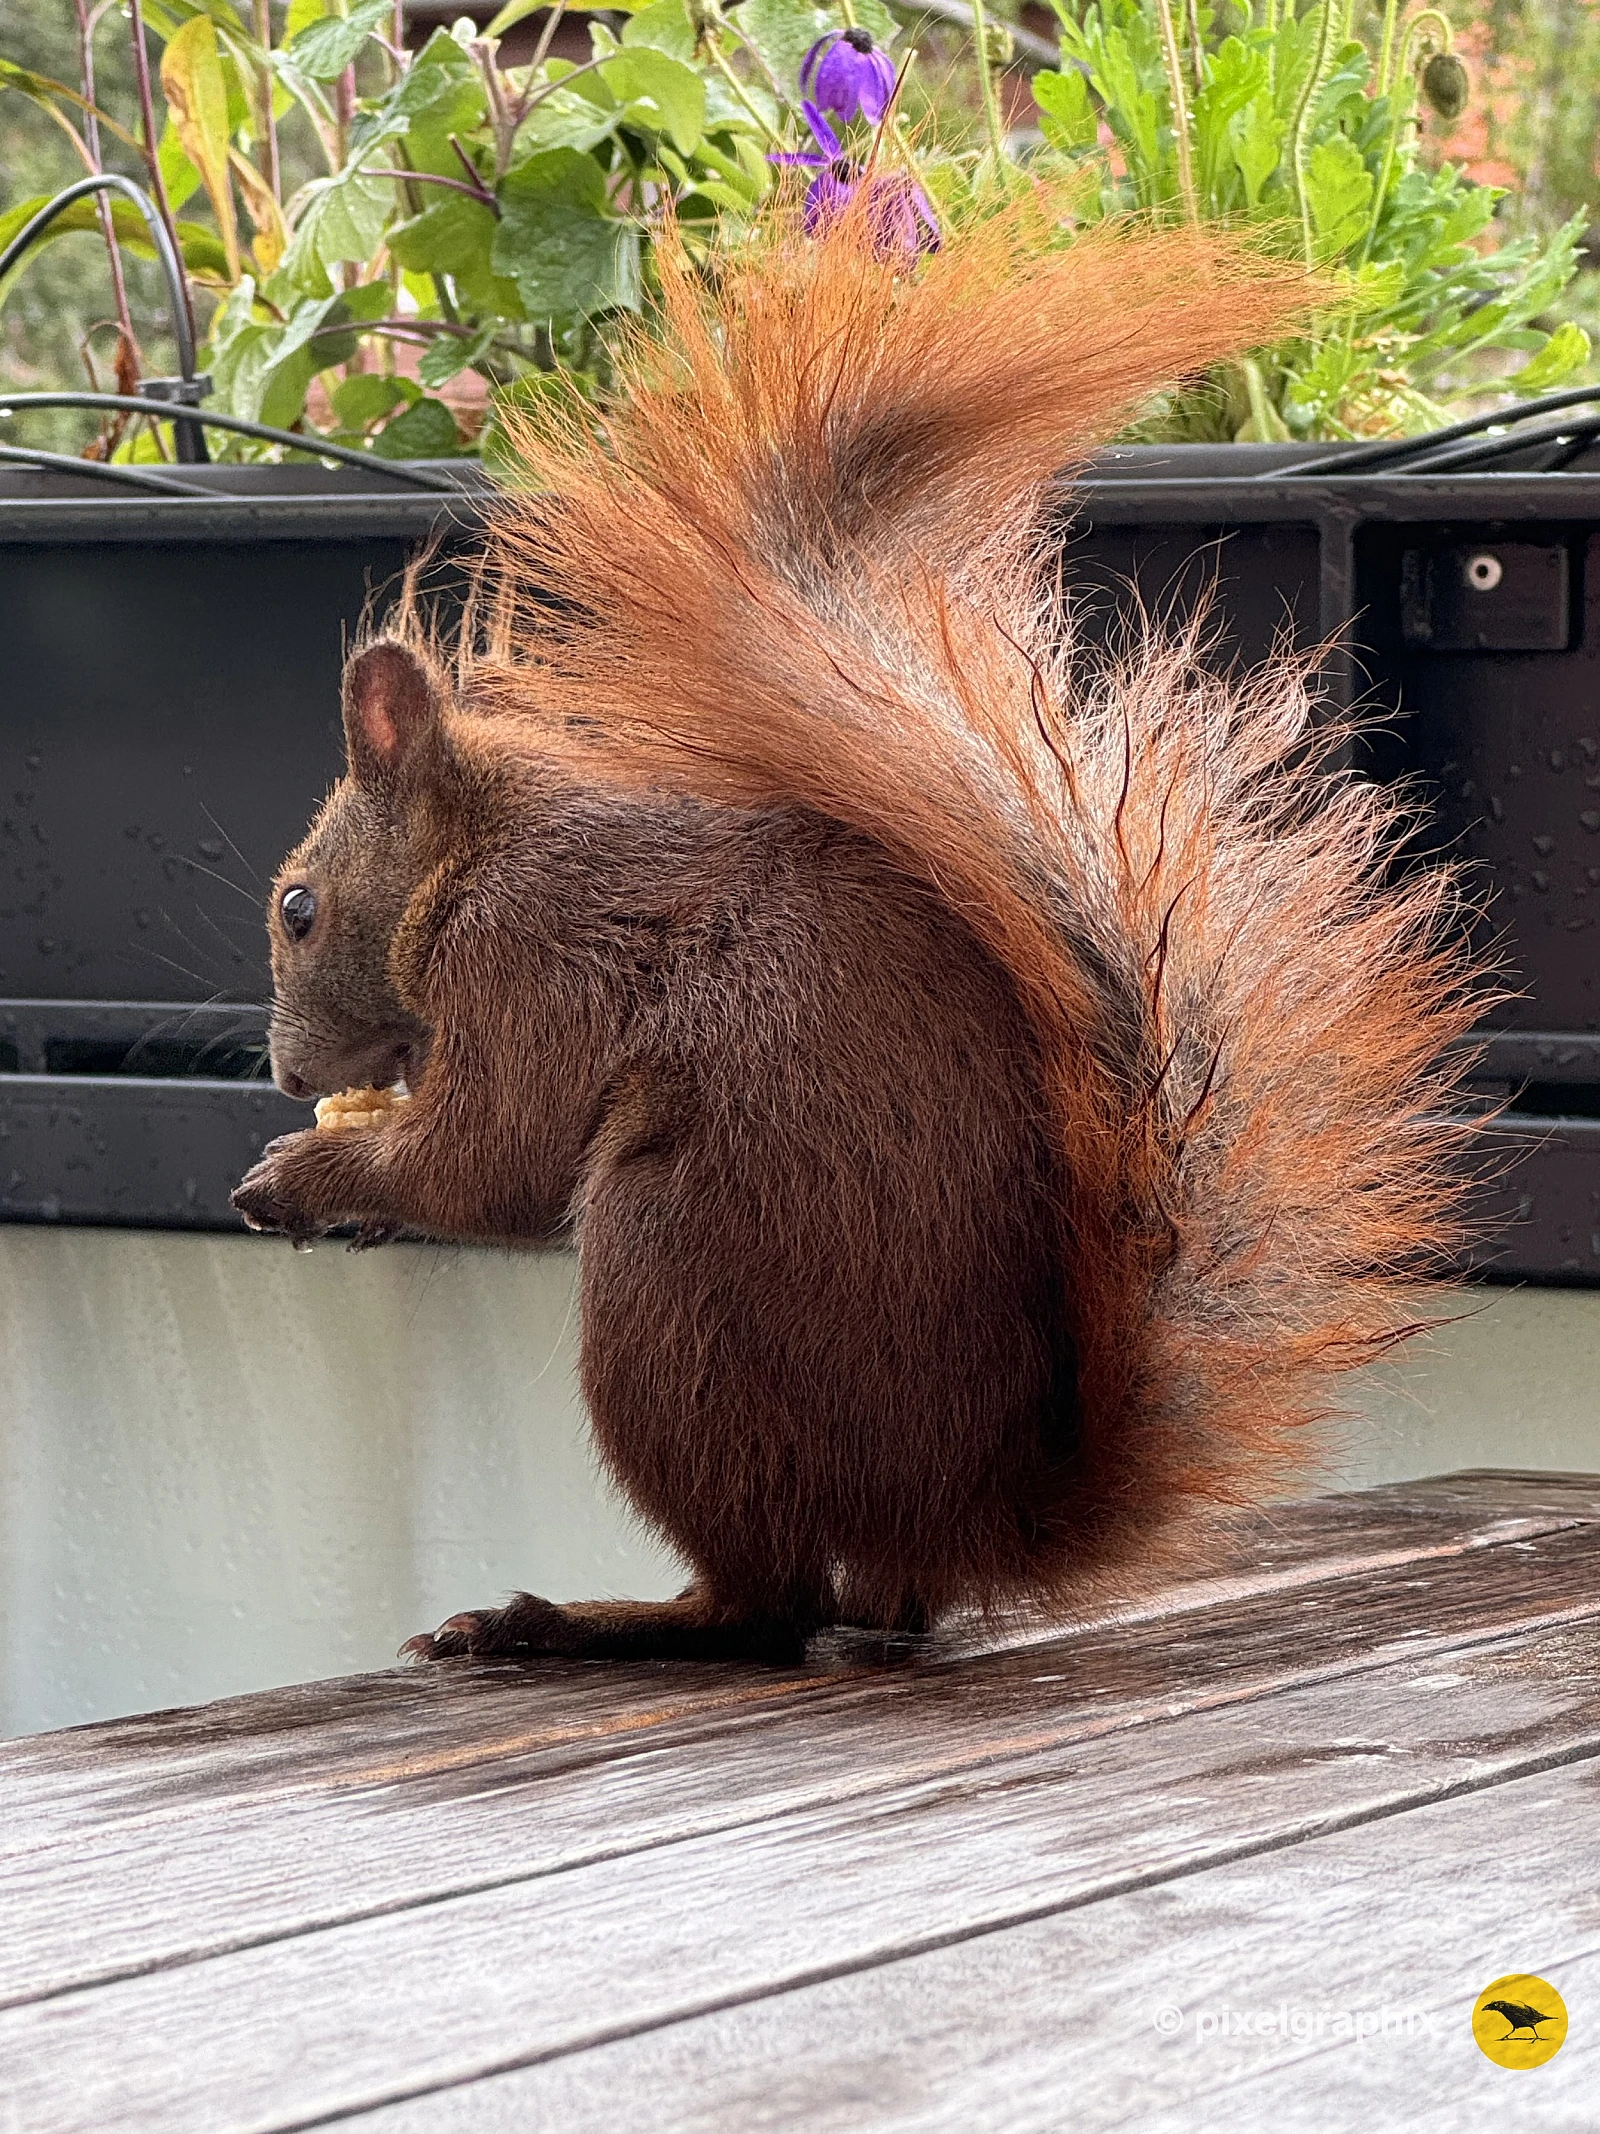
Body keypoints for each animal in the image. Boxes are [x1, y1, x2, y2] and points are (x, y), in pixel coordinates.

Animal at [232, 198, 1482, 1665]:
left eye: (299, 908)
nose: (289, 1074)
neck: (477, 850)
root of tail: (970, 1516)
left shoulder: (532, 958)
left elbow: (492, 1162)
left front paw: (308, 1177)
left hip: (674, 1276)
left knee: (766, 1603)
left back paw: (572, 1619)